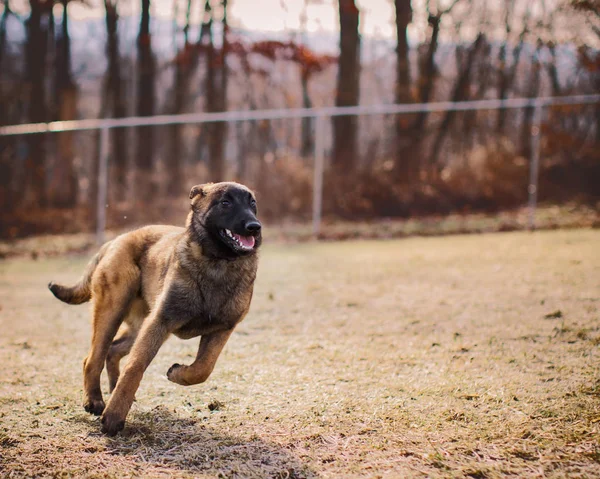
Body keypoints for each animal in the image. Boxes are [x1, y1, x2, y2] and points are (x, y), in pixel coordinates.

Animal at [48, 182, 260, 436]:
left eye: (252, 204)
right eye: (225, 203)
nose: (255, 227)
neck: (217, 263)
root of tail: (116, 240)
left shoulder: (221, 330)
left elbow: (203, 368)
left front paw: (178, 373)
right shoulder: (160, 322)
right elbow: (135, 367)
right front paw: (114, 416)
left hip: (139, 327)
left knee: (113, 351)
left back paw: (111, 389)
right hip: (114, 312)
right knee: (92, 358)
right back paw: (95, 401)